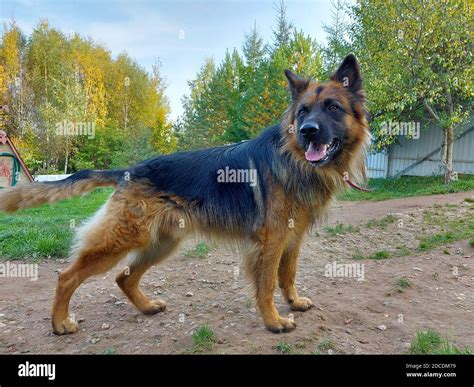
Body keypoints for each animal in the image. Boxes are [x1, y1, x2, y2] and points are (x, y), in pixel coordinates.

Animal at [0, 53, 370, 334]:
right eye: (304, 111)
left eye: (332, 107)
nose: (308, 132)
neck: (293, 159)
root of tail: (129, 170)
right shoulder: (272, 241)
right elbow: (266, 285)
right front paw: (274, 321)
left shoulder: (292, 238)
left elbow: (288, 275)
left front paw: (293, 302)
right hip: (121, 240)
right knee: (67, 276)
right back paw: (60, 323)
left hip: (162, 243)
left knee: (123, 277)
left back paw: (146, 306)